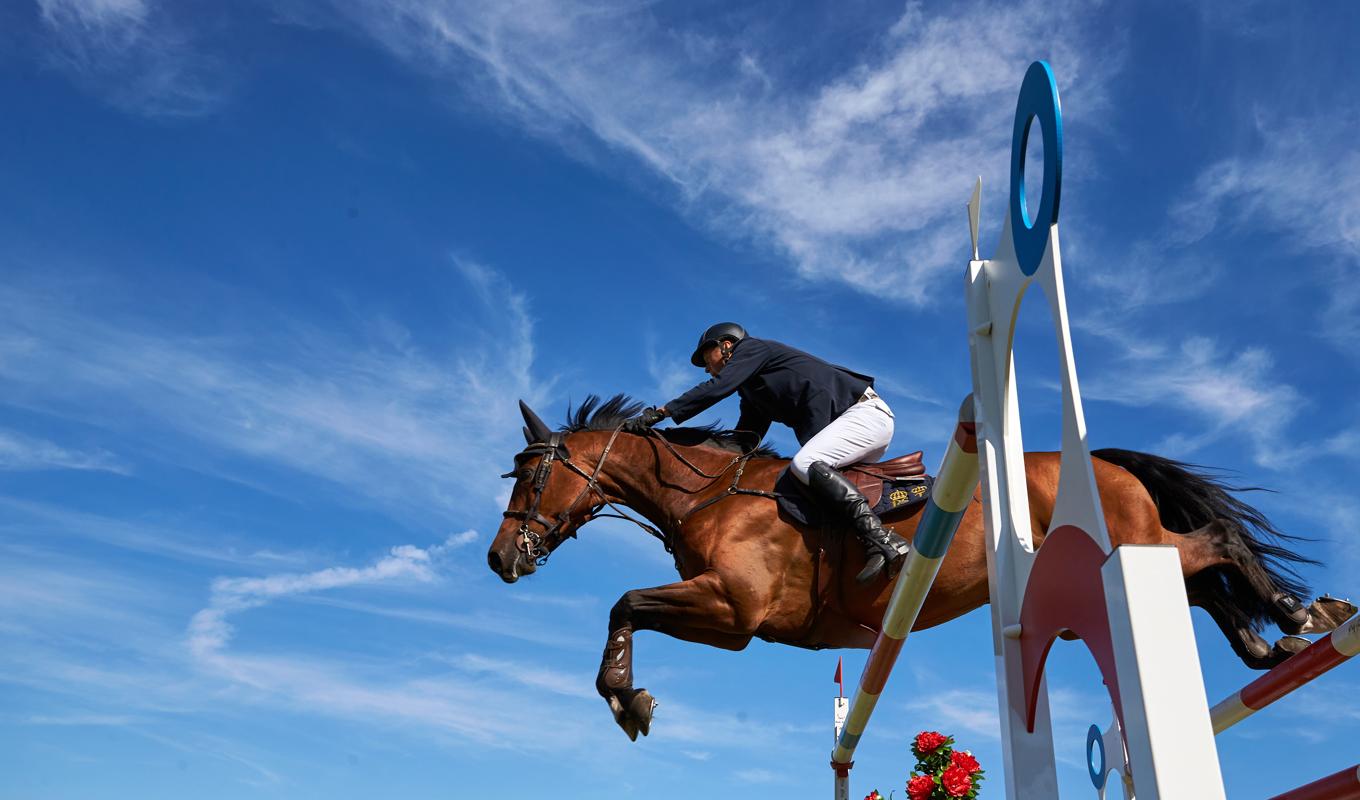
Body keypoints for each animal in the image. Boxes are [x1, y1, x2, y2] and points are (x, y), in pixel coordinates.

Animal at [486, 397, 1349, 740]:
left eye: (528, 476)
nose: (499, 560)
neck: (710, 495)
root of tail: (1102, 461)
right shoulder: (728, 616)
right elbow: (626, 606)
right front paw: (627, 697)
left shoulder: (733, 612)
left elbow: (624, 602)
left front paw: (627, 699)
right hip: (1125, 561)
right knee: (1203, 587)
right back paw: (1269, 644)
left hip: (1125, 548)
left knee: (1218, 544)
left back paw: (1299, 616)